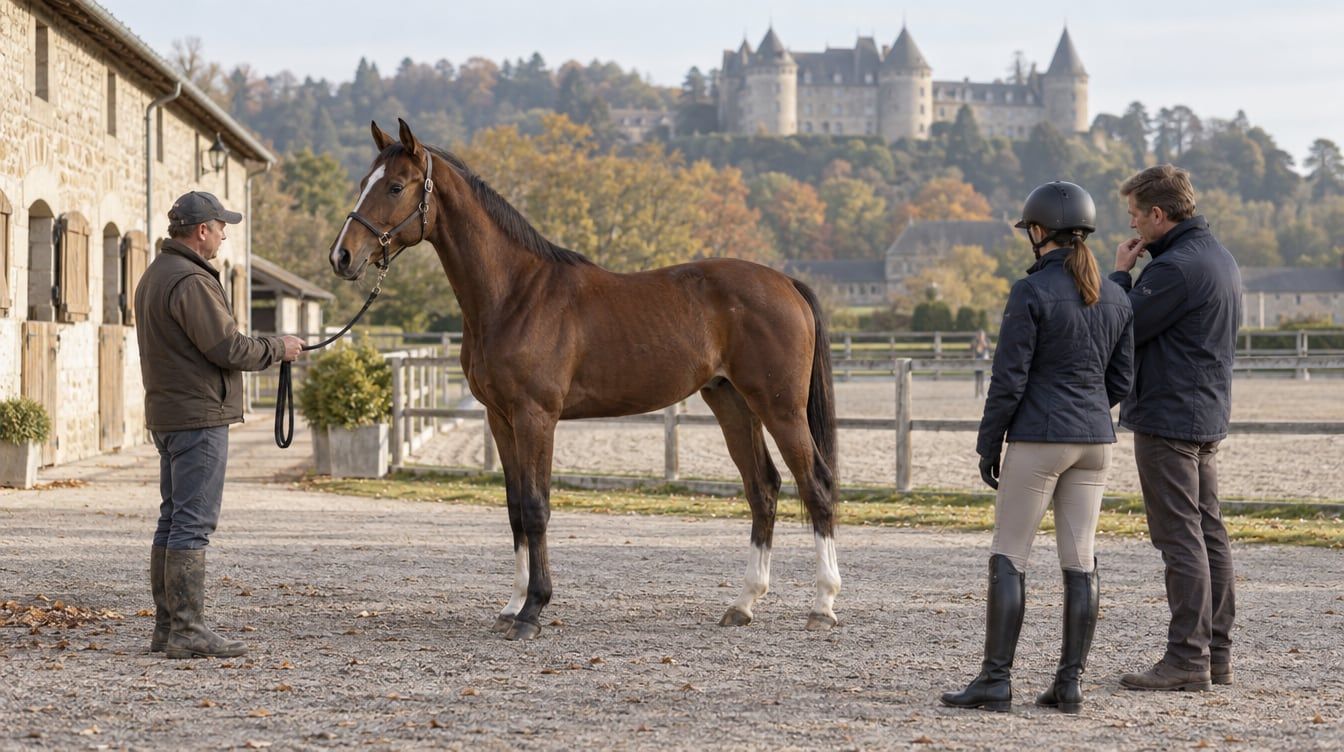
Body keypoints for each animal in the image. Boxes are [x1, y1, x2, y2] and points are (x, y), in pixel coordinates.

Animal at [329, 118, 841, 640]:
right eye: (365, 182)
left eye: (395, 186)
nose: (343, 256)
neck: (515, 294)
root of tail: (786, 283)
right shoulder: (501, 419)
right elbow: (515, 509)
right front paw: (512, 606)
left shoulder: (536, 417)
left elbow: (537, 508)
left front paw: (533, 611)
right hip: (733, 403)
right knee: (764, 489)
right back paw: (743, 603)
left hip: (779, 407)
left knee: (816, 485)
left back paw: (822, 605)